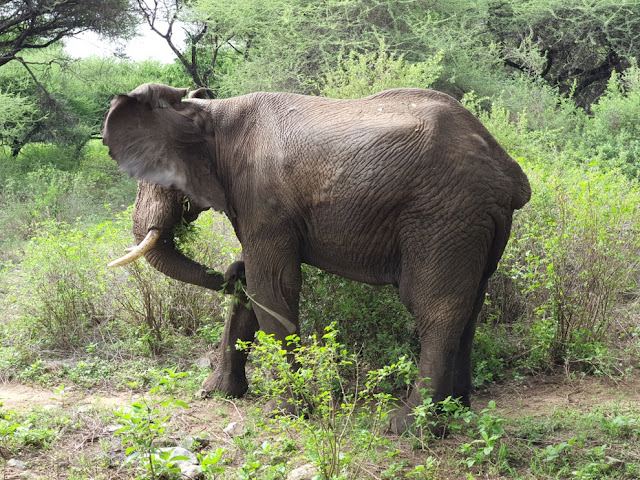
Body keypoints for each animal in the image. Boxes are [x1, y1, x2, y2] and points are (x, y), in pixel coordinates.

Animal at [102, 81, 528, 432]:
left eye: (156, 177)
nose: (227, 273)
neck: (209, 113)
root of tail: (508, 173)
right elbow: (256, 291)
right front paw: (219, 392)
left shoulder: (263, 198)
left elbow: (271, 286)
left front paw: (285, 412)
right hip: (476, 222)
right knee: (471, 304)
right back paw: (457, 412)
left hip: (445, 215)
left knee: (435, 309)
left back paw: (409, 426)